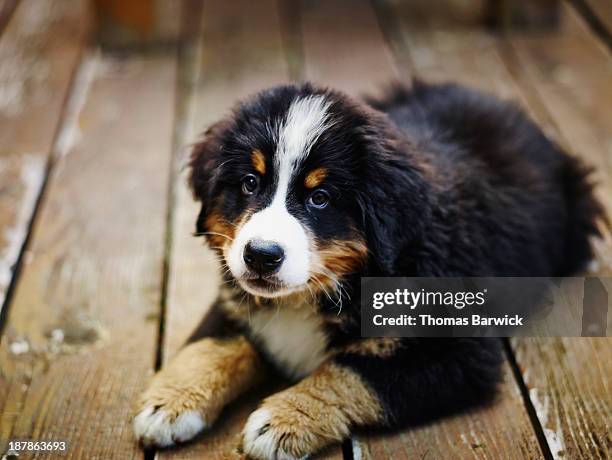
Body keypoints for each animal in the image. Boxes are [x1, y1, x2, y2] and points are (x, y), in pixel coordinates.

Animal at [135, 81, 604, 458]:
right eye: (250, 183)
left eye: (320, 198)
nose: (261, 256)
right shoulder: (236, 296)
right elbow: (212, 345)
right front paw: (170, 402)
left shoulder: (459, 354)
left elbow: (350, 373)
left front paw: (283, 421)